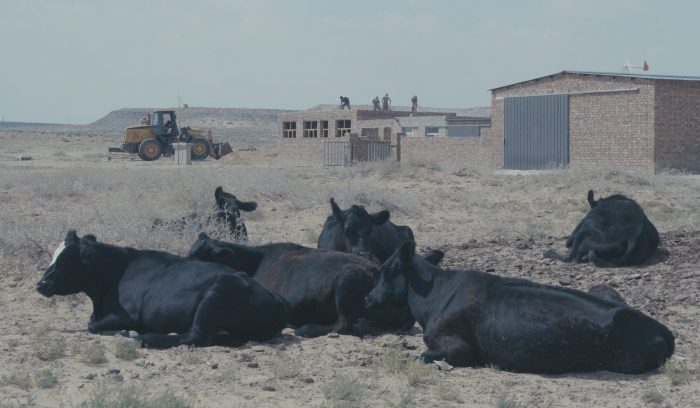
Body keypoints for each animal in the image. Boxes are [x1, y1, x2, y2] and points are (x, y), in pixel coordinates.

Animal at [34, 231, 288, 350]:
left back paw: (143, 337)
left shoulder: (128, 315)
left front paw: (126, 332)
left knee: (195, 337)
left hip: (213, 297)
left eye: (65, 260)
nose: (40, 284)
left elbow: (93, 326)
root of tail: (278, 301)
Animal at [366, 241, 672, 374]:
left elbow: (422, 356)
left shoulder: (459, 348)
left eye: (385, 270)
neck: (433, 296)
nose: (368, 298)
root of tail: (663, 330)